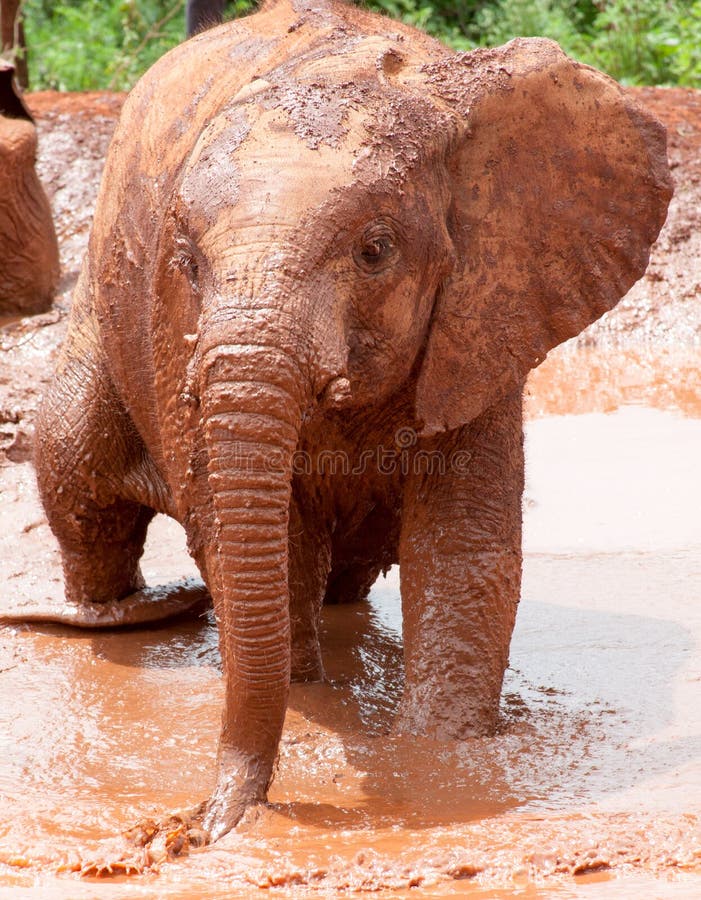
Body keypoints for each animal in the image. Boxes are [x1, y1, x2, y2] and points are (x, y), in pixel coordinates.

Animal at [19, 0, 670, 843]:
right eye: (187, 261)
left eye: (375, 251)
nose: (203, 827)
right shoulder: (172, 323)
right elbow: (254, 537)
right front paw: (309, 703)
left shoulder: (485, 311)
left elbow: (461, 549)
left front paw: (437, 758)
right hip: (103, 308)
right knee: (75, 464)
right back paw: (117, 615)